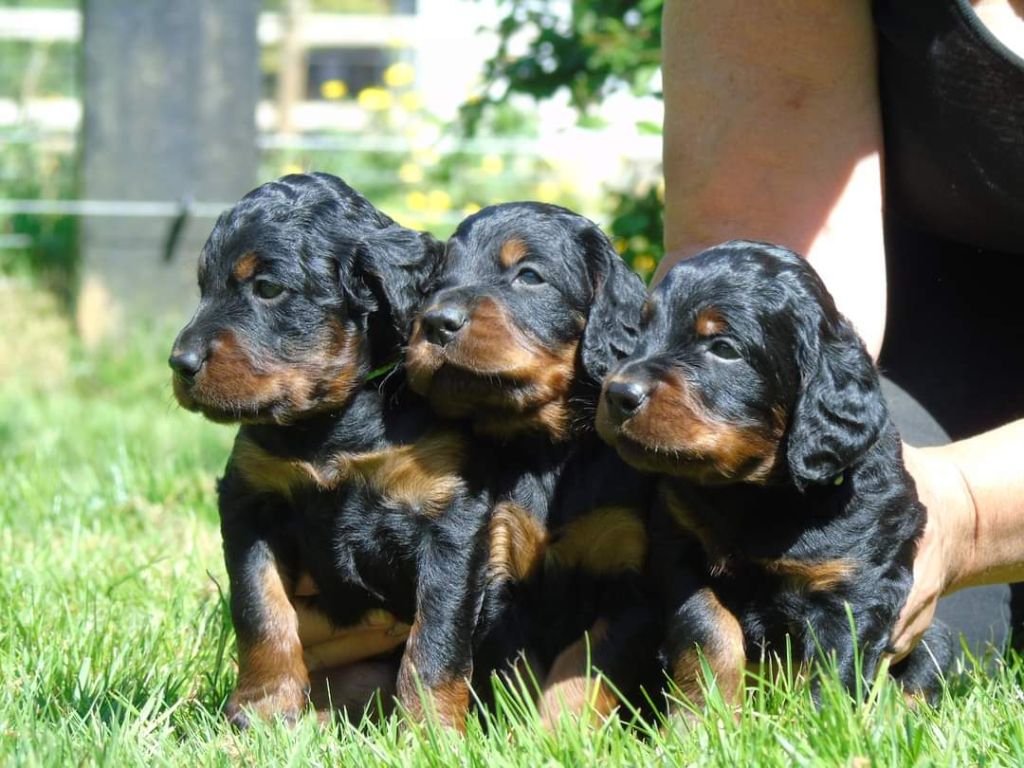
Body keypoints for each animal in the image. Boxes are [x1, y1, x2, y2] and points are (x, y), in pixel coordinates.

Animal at [172, 174, 516, 733]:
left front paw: (431, 730)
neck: (332, 421)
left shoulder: (451, 519)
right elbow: (259, 606)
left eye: (267, 288)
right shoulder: (250, 501)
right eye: (204, 286)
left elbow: (437, 635)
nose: (179, 363)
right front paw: (263, 708)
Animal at [403, 201, 659, 724]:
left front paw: (561, 731)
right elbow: (520, 677)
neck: (550, 452)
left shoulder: (629, 589)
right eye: (438, 280)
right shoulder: (501, 578)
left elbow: (578, 670)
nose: (435, 322)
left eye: (529, 276)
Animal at [598, 241, 954, 716]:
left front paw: (826, 725)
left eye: (723, 348)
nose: (618, 394)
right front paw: (702, 718)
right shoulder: (680, 552)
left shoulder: (856, 582)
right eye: (641, 330)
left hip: (935, 639)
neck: (754, 496)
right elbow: (708, 634)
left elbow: (833, 668)